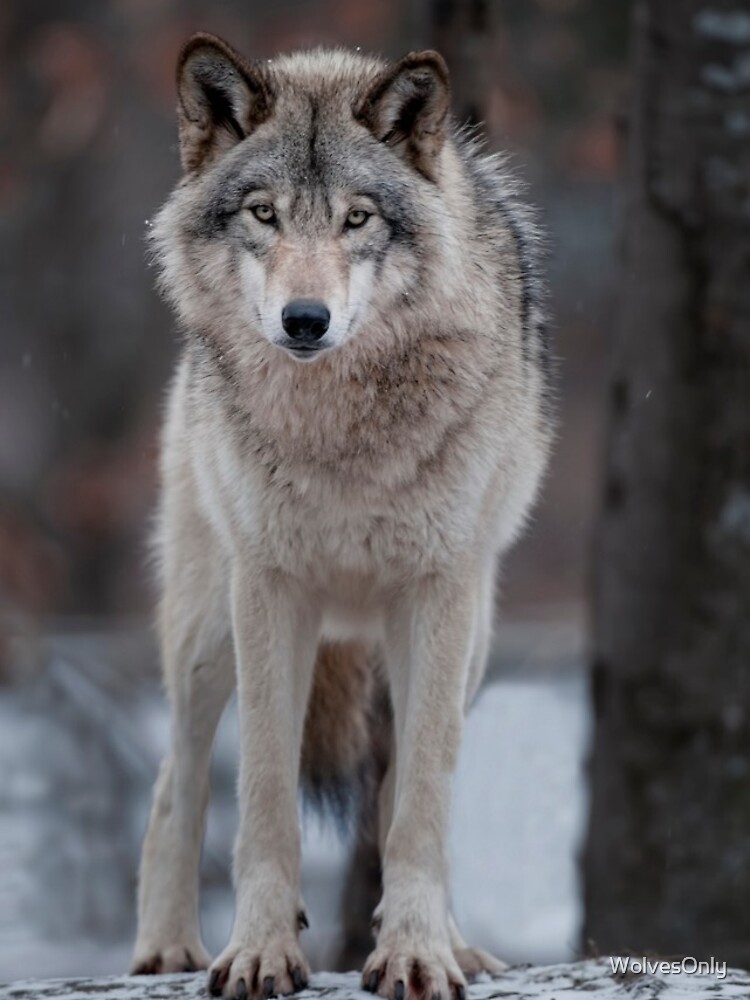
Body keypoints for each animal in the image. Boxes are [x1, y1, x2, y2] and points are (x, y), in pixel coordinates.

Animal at [131, 31, 553, 1000]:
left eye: (358, 219)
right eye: (264, 214)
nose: (305, 319)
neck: (341, 433)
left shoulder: (437, 595)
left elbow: (422, 804)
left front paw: (417, 954)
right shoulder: (270, 592)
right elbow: (261, 794)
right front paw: (257, 951)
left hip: (464, 642)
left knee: (403, 791)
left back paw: (453, 942)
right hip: (208, 632)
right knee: (177, 778)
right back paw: (166, 947)